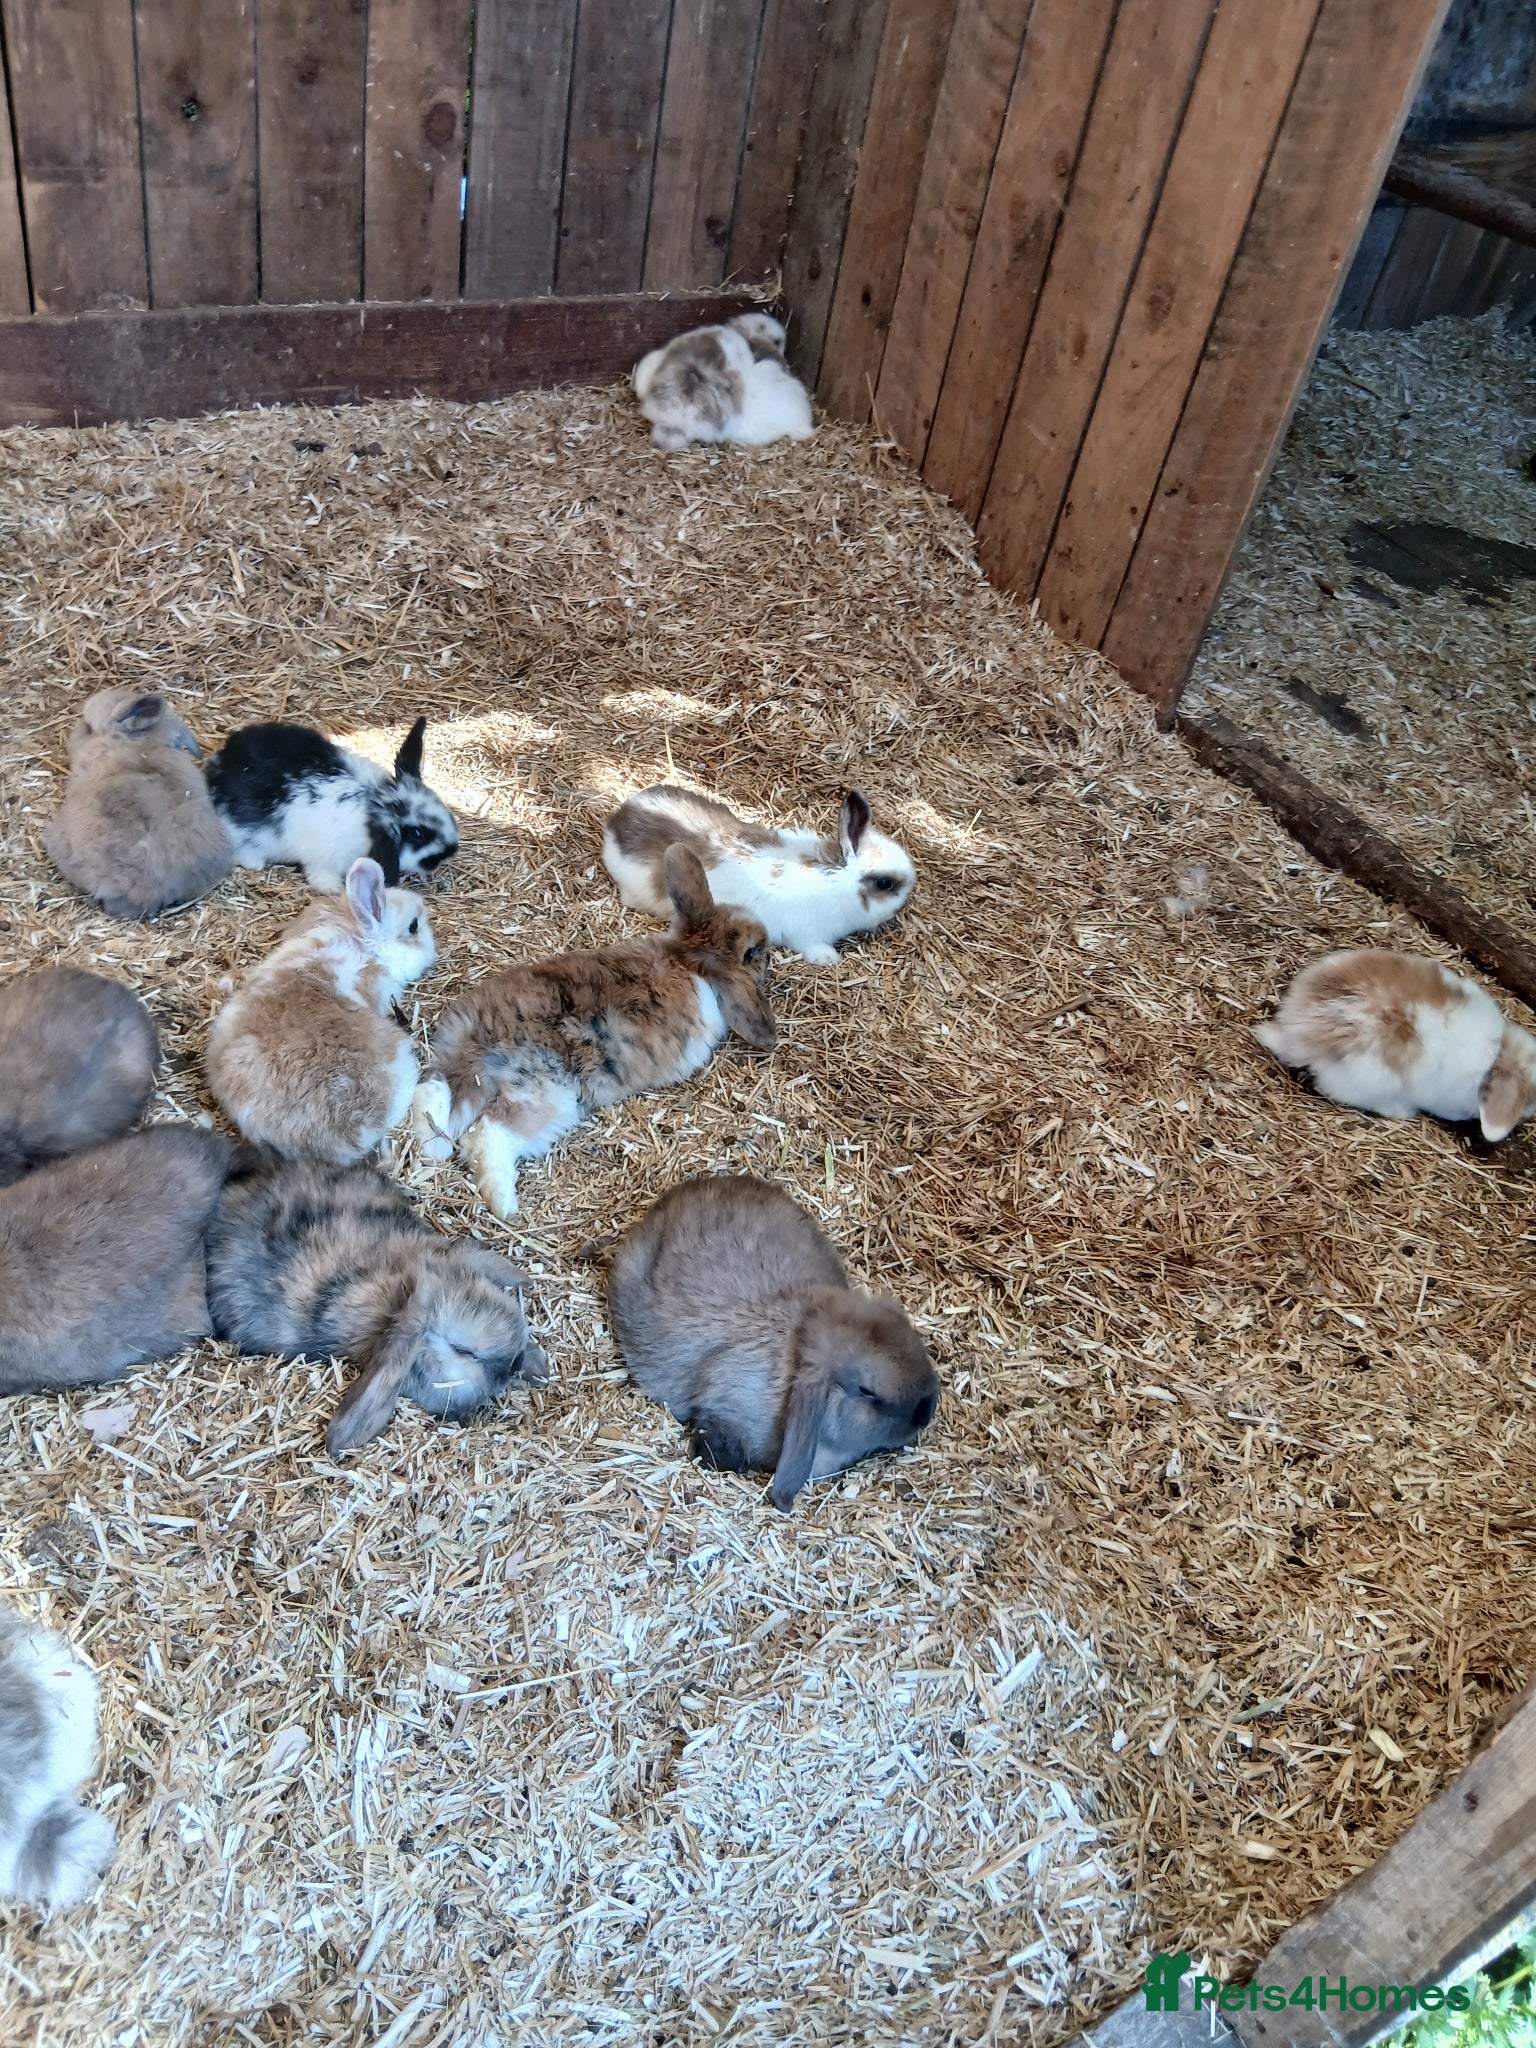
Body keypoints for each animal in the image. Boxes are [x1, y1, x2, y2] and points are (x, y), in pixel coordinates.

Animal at [204, 715, 458, 892]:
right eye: (417, 834)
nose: (450, 852)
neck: (376, 802)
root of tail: (216, 771)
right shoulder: (324, 860)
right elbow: (320, 877)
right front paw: (334, 889)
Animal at [410, 844, 775, 1217]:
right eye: (753, 951)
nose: (770, 949)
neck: (690, 959)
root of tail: (484, 1047)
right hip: (545, 1098)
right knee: (487, 1134)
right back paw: (505, 1205)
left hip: (462, 1063)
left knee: (432, 1092)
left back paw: (430, 1149)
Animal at [603, 785, 915, 965]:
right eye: (885, 883)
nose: (903, 904)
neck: (835, 879)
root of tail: (615, 823)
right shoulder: (807, 933)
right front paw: (829, 959)